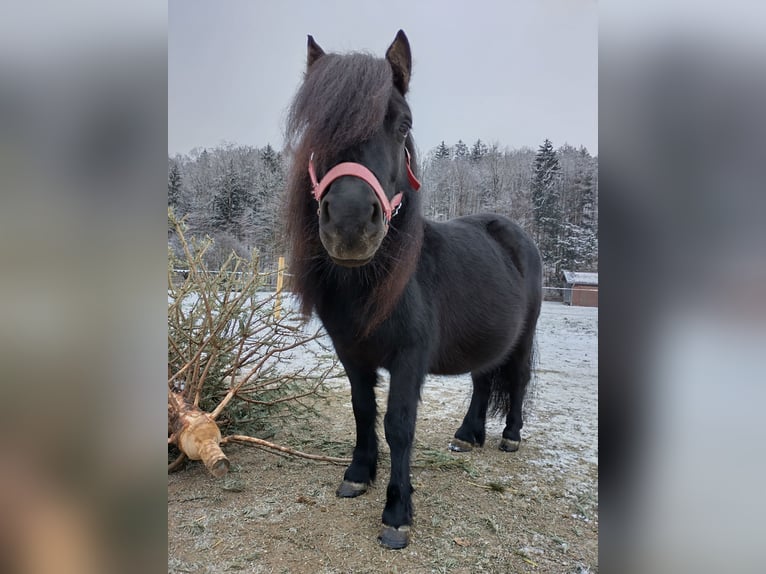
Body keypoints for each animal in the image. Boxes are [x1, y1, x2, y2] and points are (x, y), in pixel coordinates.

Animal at [284, 30, 544, 548]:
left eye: (403, 125)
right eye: (318, 126)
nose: (349, 224)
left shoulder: (409, 357)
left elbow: (398, 425)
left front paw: (397, 513)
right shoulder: (352, 354)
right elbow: (363, 410)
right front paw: (358, 474)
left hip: (523, 338)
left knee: (518, 378)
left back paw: (510, 436)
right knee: (484, 379)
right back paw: (467, 435)